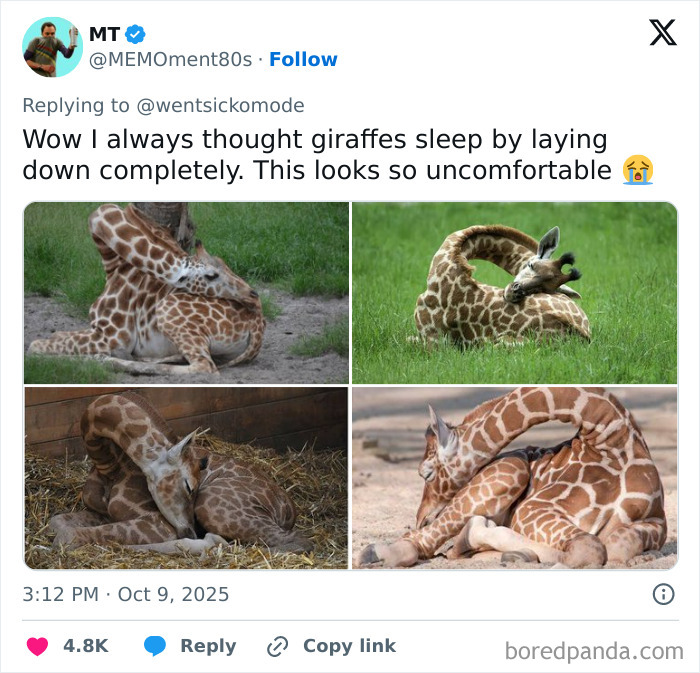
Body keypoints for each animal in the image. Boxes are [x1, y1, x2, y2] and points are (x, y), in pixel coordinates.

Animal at [28, 204, 265, 375]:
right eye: (212, 275)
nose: (253, 295)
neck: (112, 266)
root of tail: (258, 329)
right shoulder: (98, 329)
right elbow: (56, 335)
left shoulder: (112, 336)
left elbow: (35, 345)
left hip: (167, 309)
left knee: (204, 368)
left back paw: (107, 359)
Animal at [50, 392, 313, 554]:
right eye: (188, 486)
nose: (191, 530)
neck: (109, 466)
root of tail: (289, 508)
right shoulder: (102, 513)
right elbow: (56, 522)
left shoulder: (158, 523)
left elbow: (68, 535)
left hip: (211, 503)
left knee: (296, 541)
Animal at [359, 387, 667, 568]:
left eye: (427, 473)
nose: (421, 517)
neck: (612, 438)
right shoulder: (532, 509)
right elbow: (591, 549)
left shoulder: (657, 522)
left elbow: (616, 547)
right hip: (512, 469)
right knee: (419, 543)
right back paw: (377, 552)